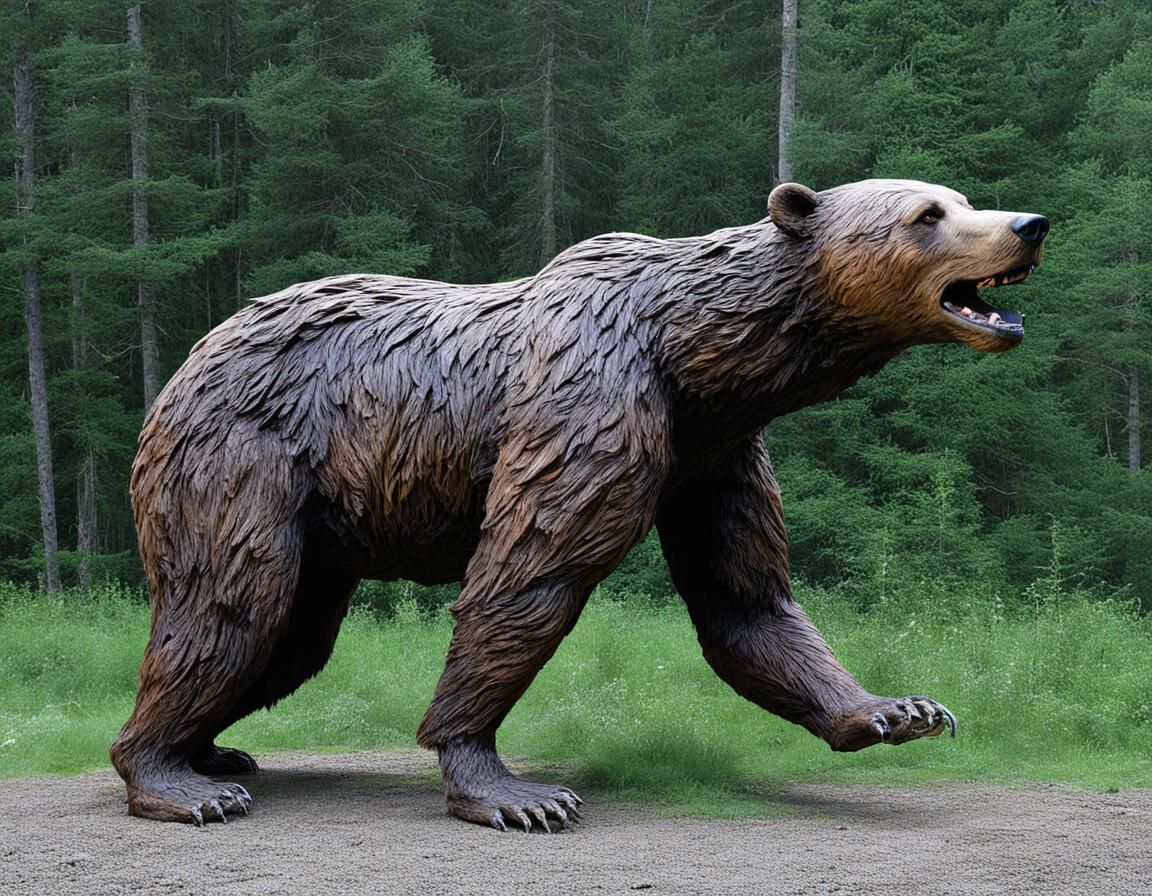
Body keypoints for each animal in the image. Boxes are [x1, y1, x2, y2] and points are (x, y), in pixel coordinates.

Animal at [111, 179, 1049, 830]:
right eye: (926, 213)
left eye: (965, 196)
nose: (1029, 225)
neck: (698, 355)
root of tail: (188, 362)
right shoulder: (593, 401)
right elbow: (529, 575)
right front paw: (508, 787)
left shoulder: (714, 456)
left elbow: (747, 597)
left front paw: (899, 709)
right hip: (241, 458)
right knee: (234, 607)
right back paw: (174, 781)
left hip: (317, 524)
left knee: (289, 638)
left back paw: (213, 753)